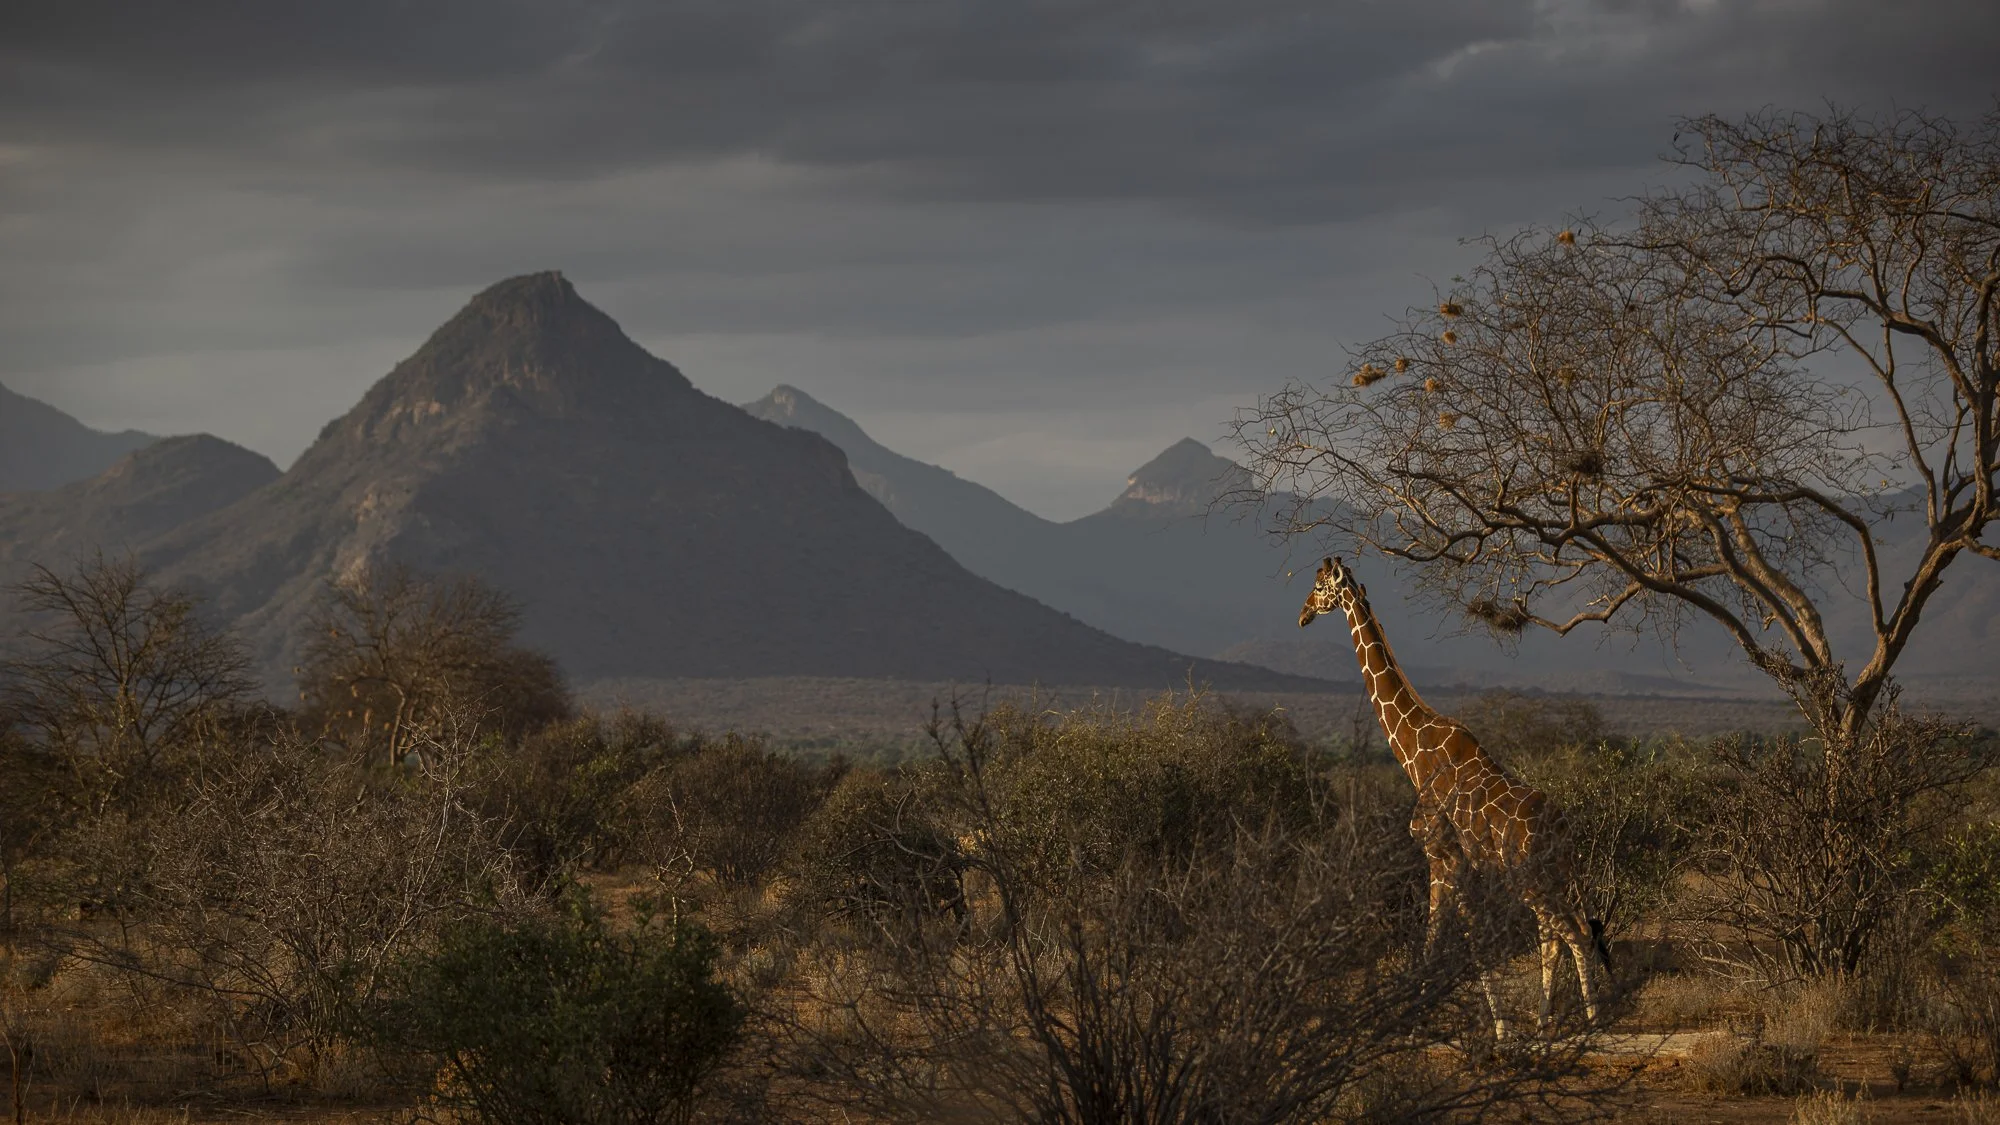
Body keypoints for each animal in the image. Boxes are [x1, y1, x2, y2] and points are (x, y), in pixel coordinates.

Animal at [1298, 556, 1607, 1033]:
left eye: (1318, 587)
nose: (1303, 614)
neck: (1413, 753)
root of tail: (1562, 826)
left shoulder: (1442, 856)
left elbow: (1450, 940)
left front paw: (1492, 1027)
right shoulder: (1457, 865)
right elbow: (1447, 938)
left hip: (1530, 877)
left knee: (1571, 930)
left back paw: (1590, 1021)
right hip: (1552, 875)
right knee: (1561, 932)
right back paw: (1543, 1022)